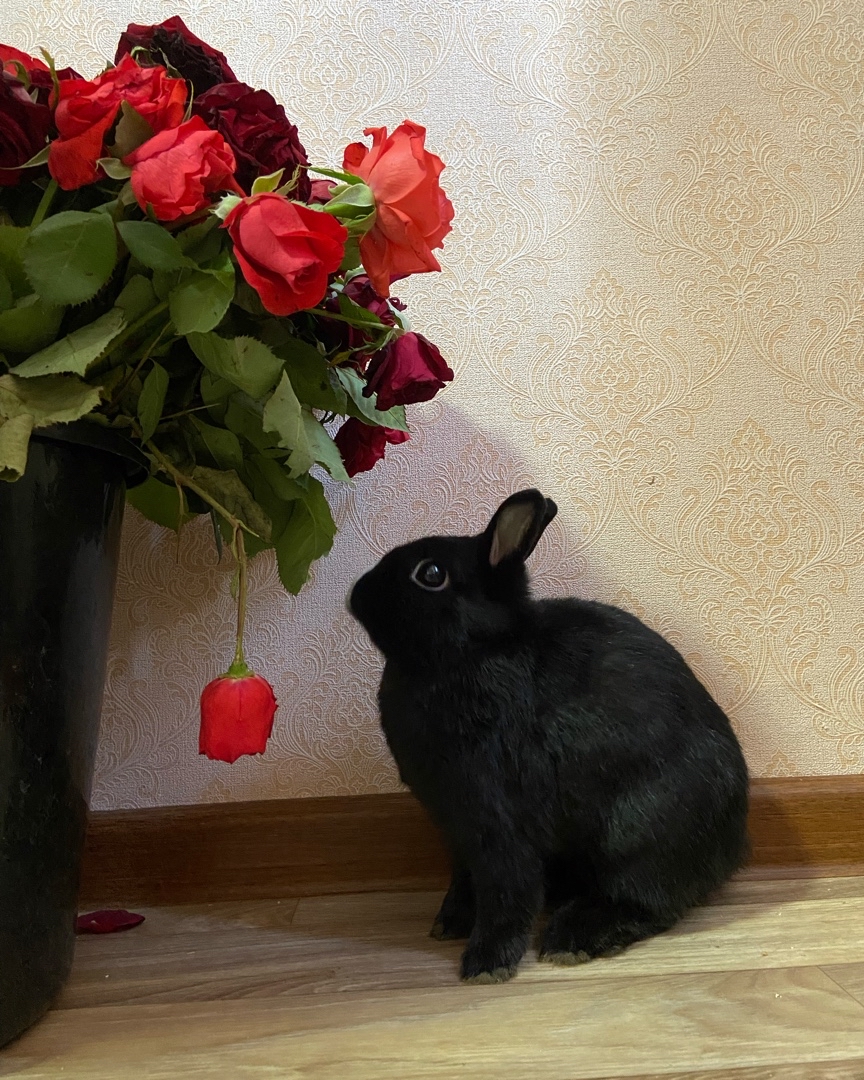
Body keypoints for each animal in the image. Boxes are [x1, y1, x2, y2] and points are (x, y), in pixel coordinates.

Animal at [348, 489, 750, 984]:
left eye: (432, 574)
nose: (357, 593)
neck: (471, 655)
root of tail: (733, 845)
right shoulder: (456, 827)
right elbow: (465, 877)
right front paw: (449, 923)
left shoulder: (500, 820)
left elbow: (507, 889)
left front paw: (486, 964)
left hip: (635, 835)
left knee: (645, 901)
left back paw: (571, 939)